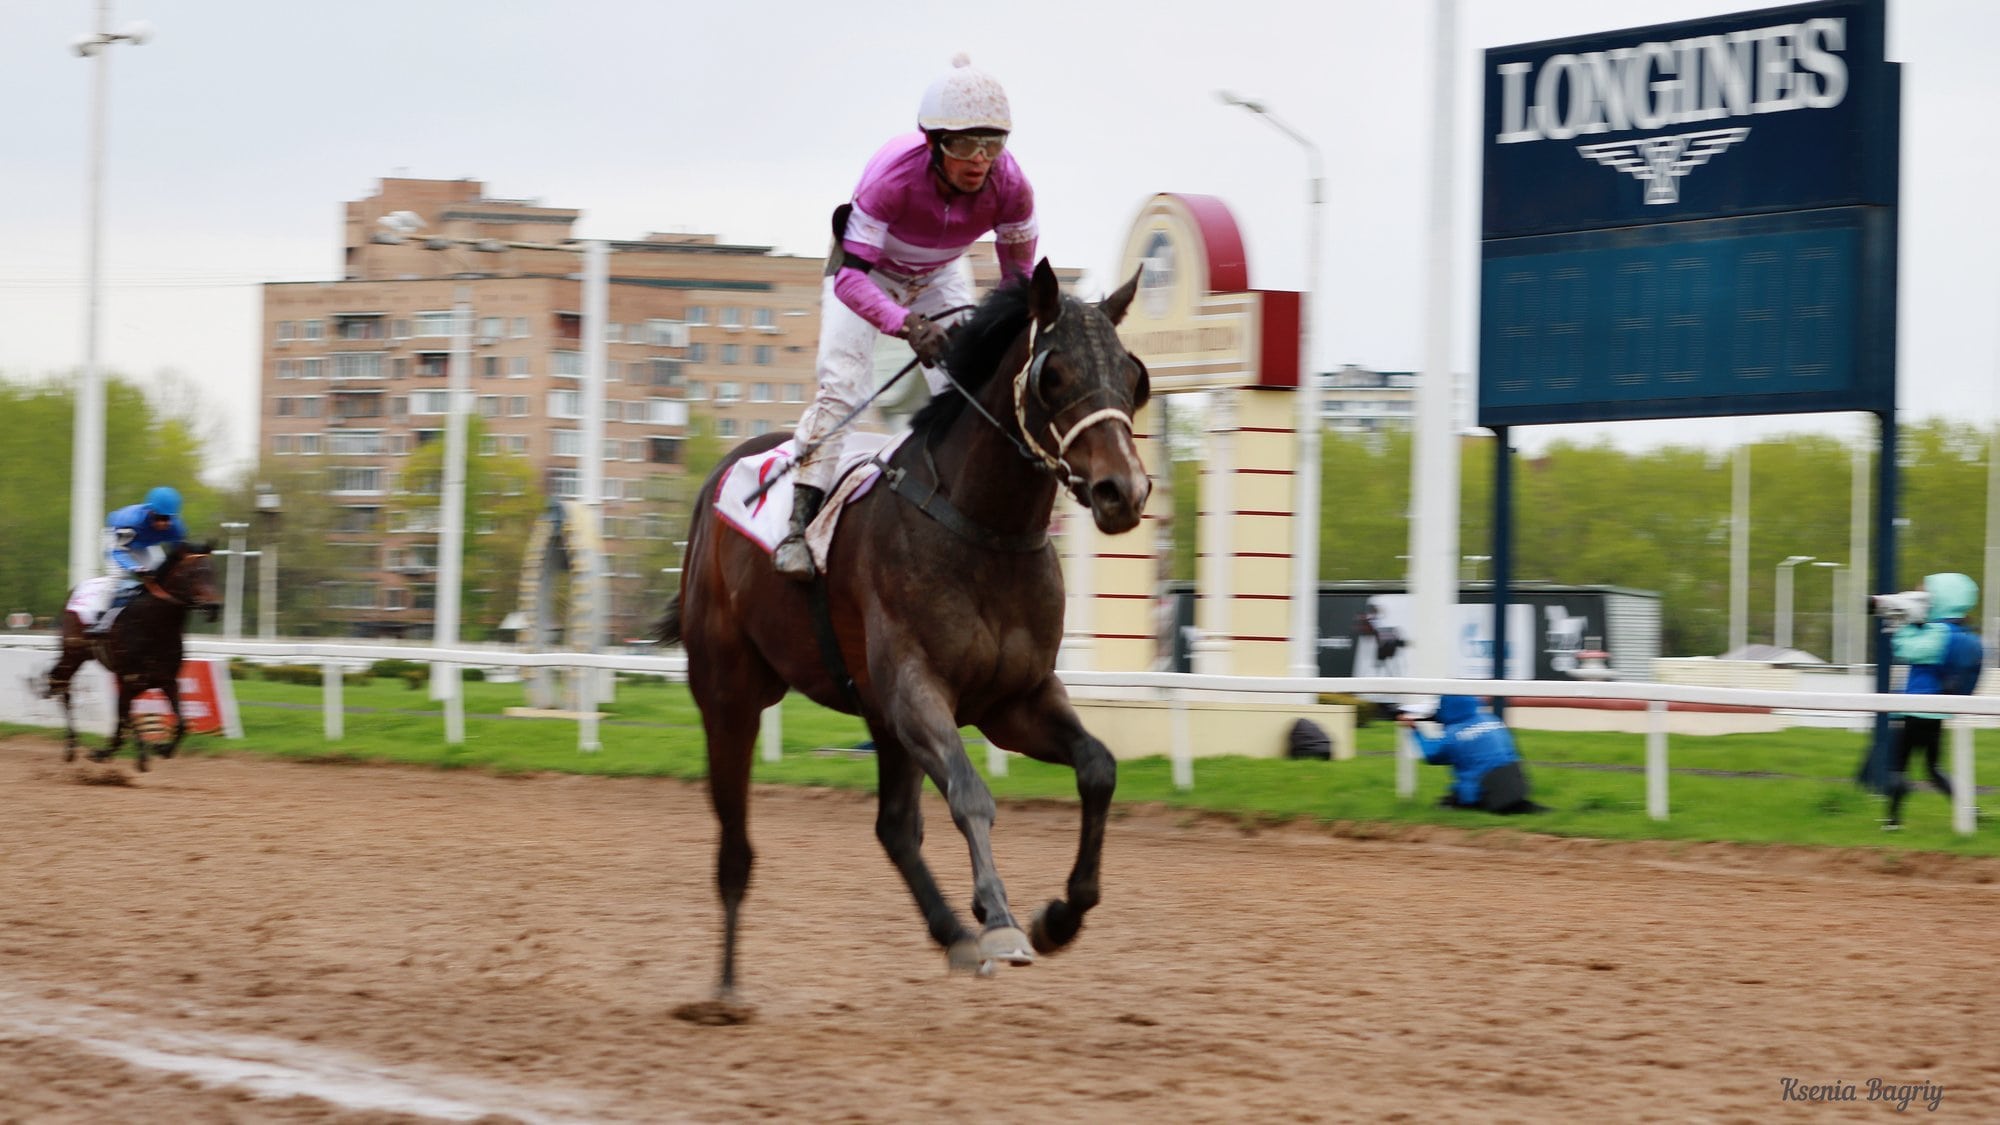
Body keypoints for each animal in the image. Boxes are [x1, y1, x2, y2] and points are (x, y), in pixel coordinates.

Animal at [46, 540, 219, 768]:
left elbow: (181, 722)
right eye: (193, 573)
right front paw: (140, 753)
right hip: (73, 654)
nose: (214, 606)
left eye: (213, 572)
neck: (155, 625)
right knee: (61, 684)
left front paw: (162, 748)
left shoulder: (166, 679)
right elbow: (127, 713)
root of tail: (73, 591)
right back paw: (71, 746)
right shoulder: (130, 679)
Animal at [660, 262, 1152, 1008]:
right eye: (1055, 373)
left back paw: (954, 933)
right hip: (729, 692)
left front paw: (1058, 916)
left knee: (892, 826)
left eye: (1132, 374)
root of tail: (723, 472)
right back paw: (724, 989)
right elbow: (971, 793)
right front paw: (1000, 919)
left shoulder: (1016, 698)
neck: (984, 526)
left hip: (875, 713)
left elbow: (1098, 767)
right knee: (735, 841)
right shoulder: (917, 688)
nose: (1123, 490)